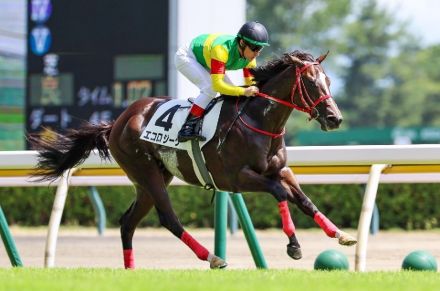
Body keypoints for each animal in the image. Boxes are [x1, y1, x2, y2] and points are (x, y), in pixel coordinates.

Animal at [29, 49, 356, 270]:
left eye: (328, 80)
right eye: (312, 83)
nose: (335, 119)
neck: (258, 121)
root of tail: (117, 123)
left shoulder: (281, 169)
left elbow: (304, 200)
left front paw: (340, 234)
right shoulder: (237, 178)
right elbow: (280, 193)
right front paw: (294, 245)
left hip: (151, 179)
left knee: (127, 222)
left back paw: (131, 270)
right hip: (146, 172)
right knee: (168, 219)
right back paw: (212, 257)